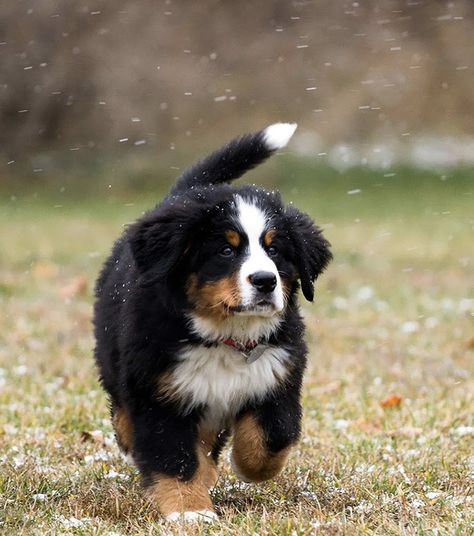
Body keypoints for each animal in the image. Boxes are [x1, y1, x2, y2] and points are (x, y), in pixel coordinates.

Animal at [92, 123, 330, 520]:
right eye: (226, 250)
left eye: (275, 249)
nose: (265, 280)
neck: (225, 338)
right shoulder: (160, 394)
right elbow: (175, 457)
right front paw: (190, 510)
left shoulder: (278, 376)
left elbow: (272, 436)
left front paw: (248, 467)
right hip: (115, 358)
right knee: (123, 408)